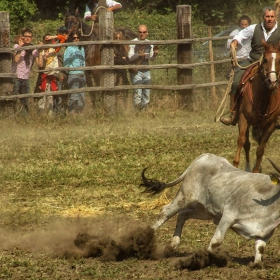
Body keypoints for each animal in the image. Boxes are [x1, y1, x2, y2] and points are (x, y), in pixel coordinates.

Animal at [140, 152, 280, 264]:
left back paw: (172, 245)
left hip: (205, 211)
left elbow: (260, 248)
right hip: (184, 197)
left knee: (183, 215)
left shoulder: (266, 232)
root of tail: (205, 156)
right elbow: (216, 241)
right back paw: (143, 242)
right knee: (165, 212)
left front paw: (256, 264)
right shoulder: (228, 216)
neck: (268, 201)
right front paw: (205, 258)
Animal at [233, 41, 280, 173]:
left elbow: (260, 149)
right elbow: (241, 140)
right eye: (265, 59)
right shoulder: (243, 118)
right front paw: (235, 165)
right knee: (247, 143)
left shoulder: (271, 125)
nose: (272, 81)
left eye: (279, 60)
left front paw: (256, 170)